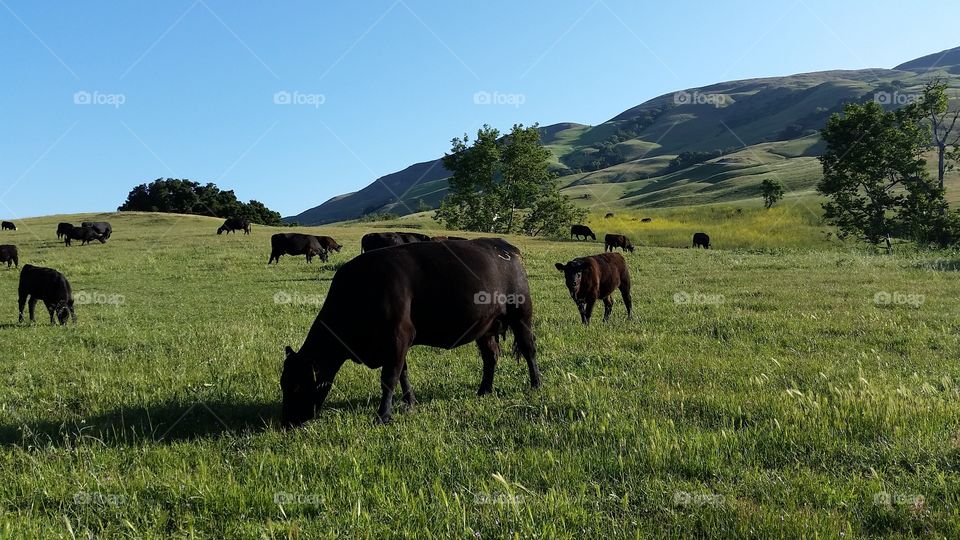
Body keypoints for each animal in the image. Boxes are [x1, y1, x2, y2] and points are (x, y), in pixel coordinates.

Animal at [280, 236, 540, 426]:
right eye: (283, 384)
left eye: (296, 386)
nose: (286, 422)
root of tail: (503, 246)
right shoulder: (396, 344)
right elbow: (403, 374)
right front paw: (410, 402)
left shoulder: (397, 337)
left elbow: (389, 378)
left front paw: (383, 415)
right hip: (485, 327)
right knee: (491, 356)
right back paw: (484, 390)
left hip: (520, 316)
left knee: (529, 349)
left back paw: (536, 384)